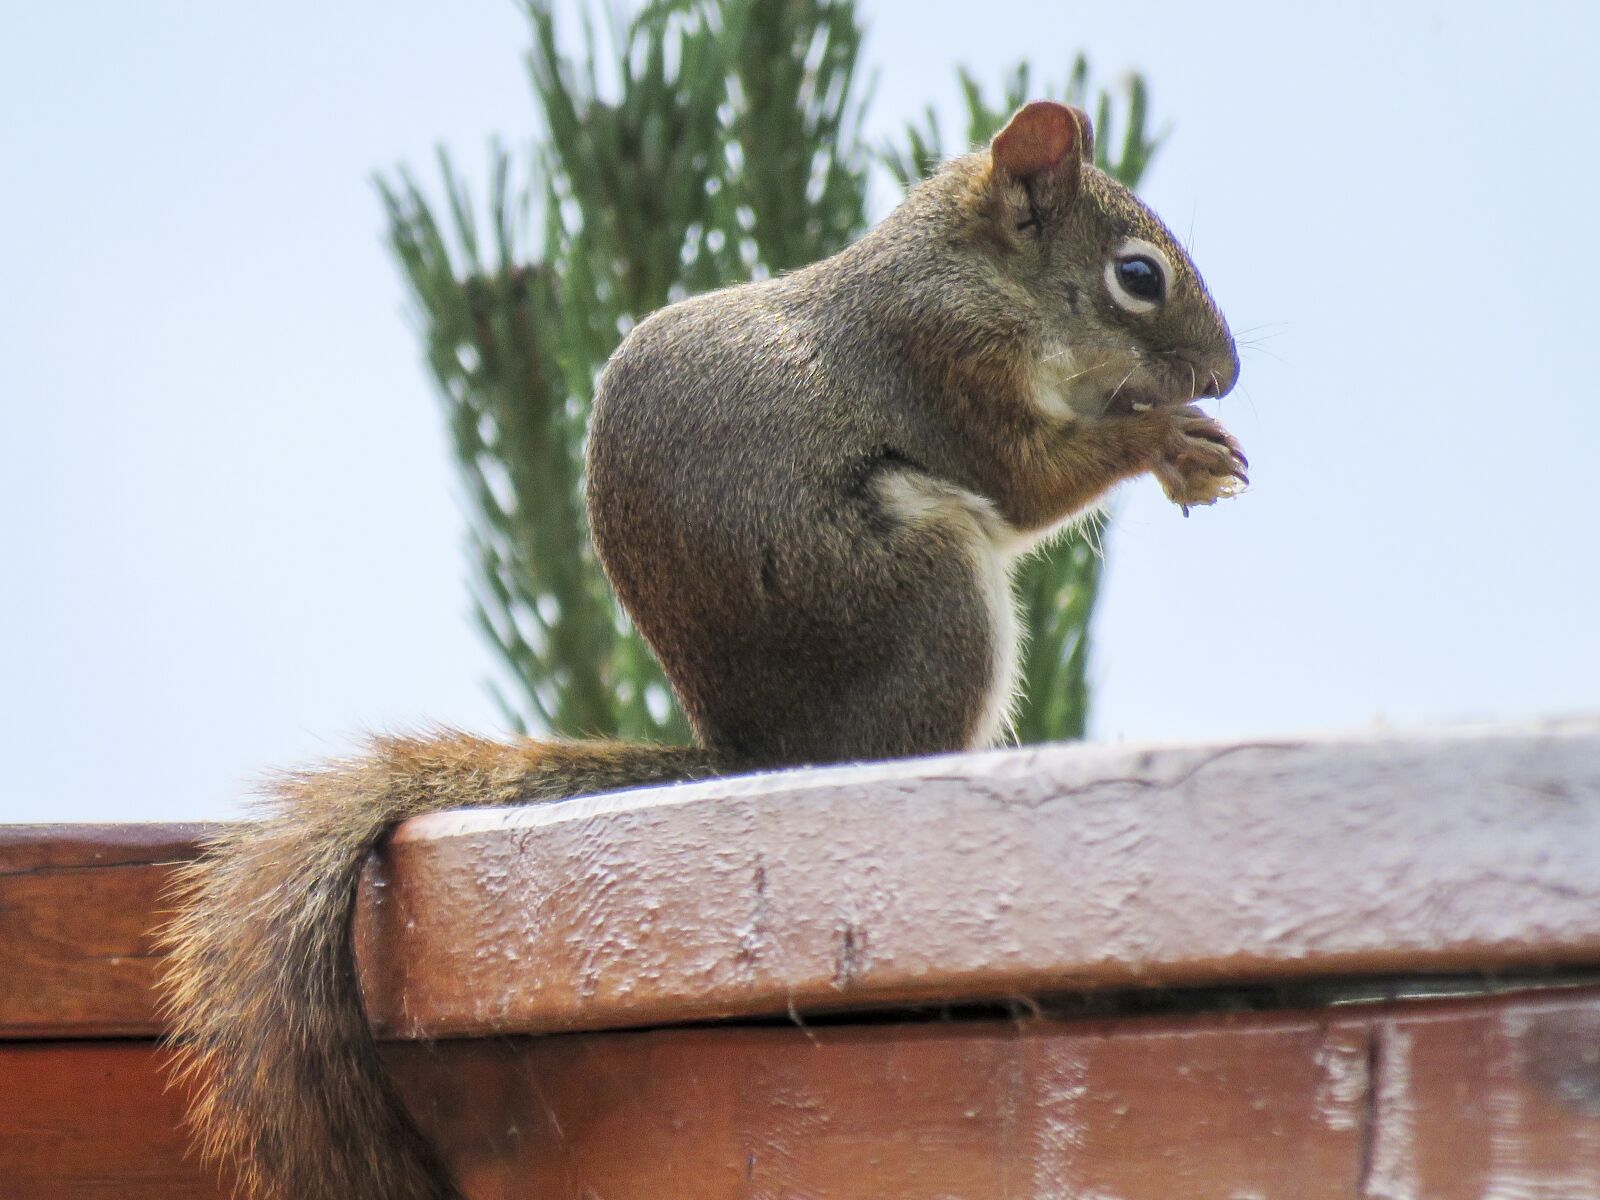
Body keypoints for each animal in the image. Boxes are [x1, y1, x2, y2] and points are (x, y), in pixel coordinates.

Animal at [160, 101, 1245, 1200]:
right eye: (1138, 275)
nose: (1224, 376)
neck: (971, 272)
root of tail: (761, 754)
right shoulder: (945, 364)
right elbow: (1028, 481)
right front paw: (1164, 440)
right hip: (930, 586)